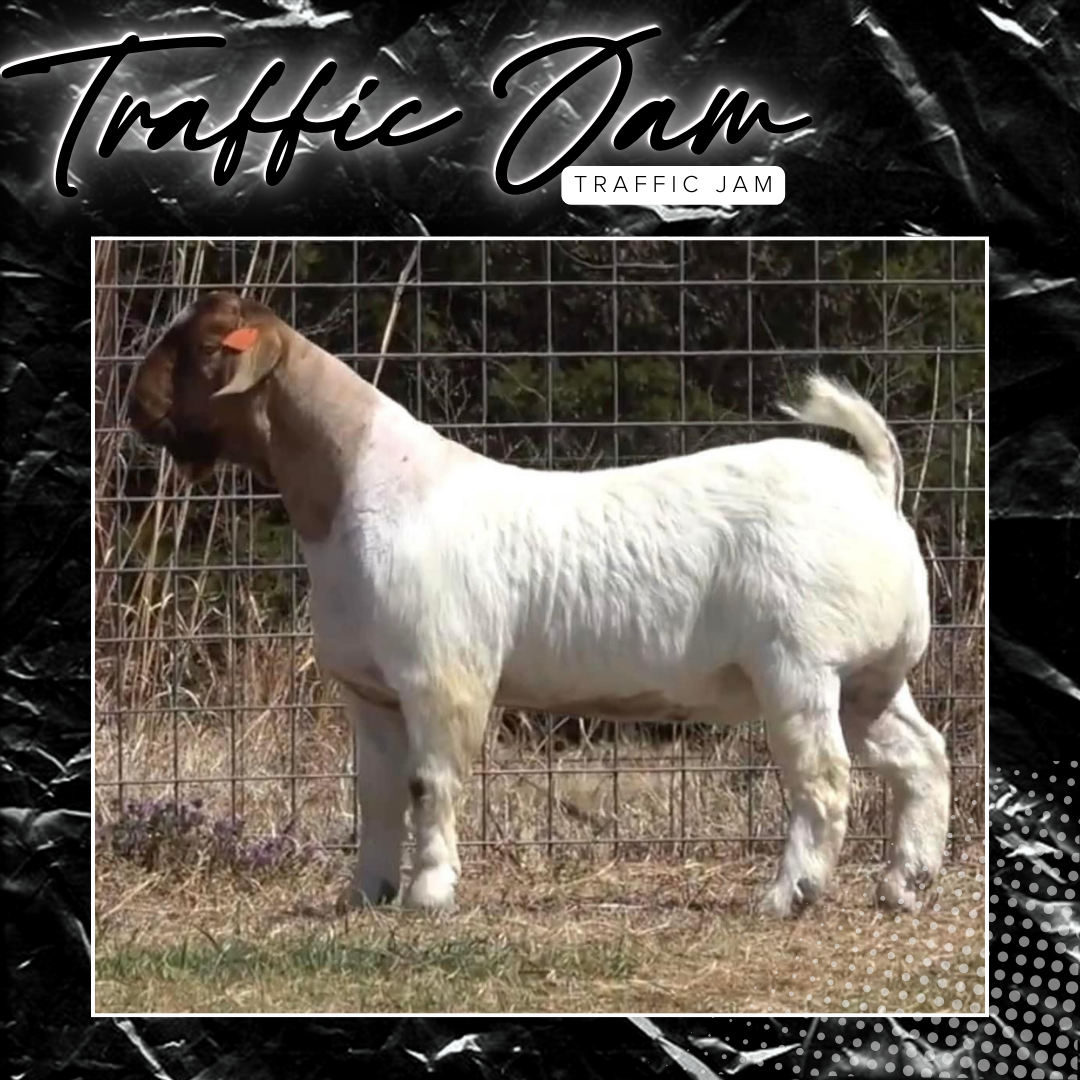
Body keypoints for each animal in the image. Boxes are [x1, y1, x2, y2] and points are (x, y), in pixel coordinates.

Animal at [128, 290, 951, 917]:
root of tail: (872, 481)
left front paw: (429, 896)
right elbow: (377, 795)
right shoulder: (371, 691)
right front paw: (364, 895)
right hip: (869, 676)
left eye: (206, 348)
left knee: (825, 779)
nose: (135, 410)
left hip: (800, 665)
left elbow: (431, 784)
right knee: (922, 756)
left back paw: (789, 894)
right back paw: (905, 884)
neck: (356, 490)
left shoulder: (441, 677)